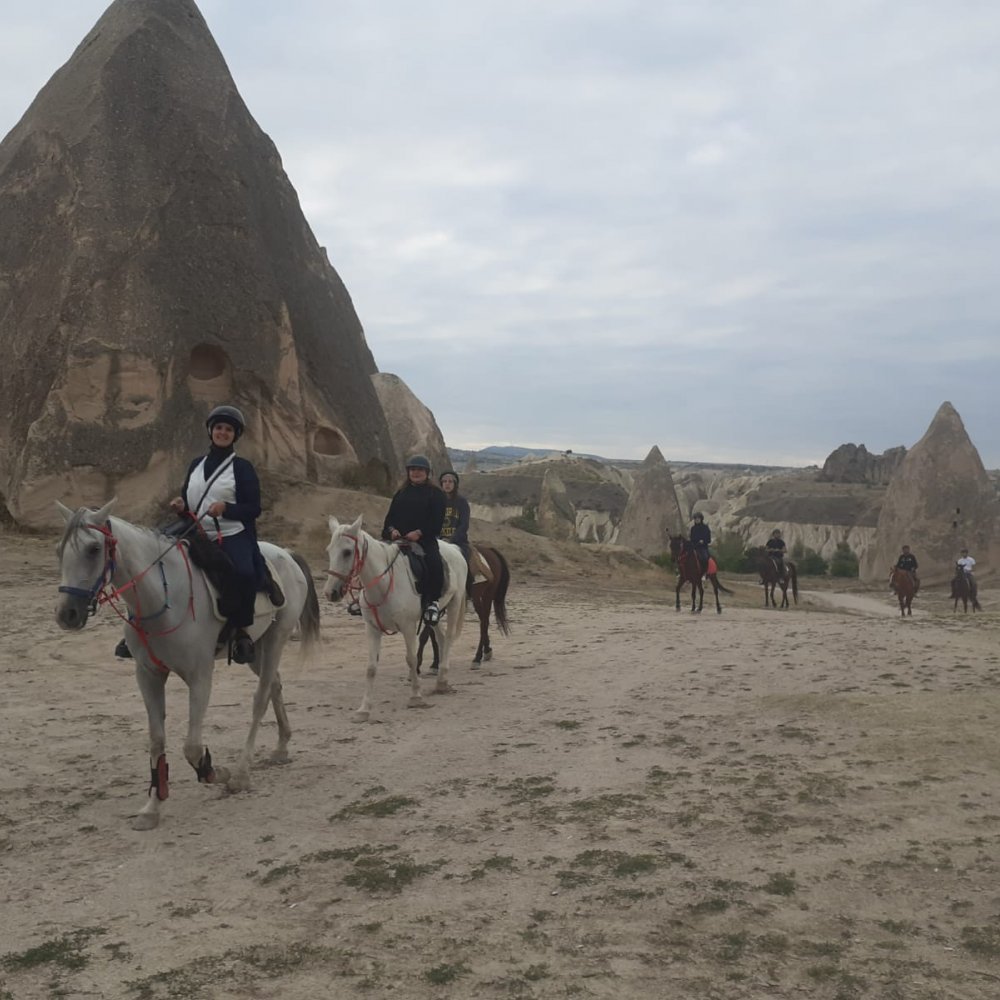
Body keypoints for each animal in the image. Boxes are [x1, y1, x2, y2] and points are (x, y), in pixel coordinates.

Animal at [54, 499, 321, 830]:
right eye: (59, 551)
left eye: (93, 549)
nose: (67, 614)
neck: (162, 597)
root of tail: (286, 553)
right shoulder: (148, 675)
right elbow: (157, 741)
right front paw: (152, 807)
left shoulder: (200, 677)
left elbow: (192, 747)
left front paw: (217, 773)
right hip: (256, 650)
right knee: (274, 685)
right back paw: (282, 746)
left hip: (276, 640)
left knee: (260, 699)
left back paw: (241, 774)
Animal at [324, 516, 467, 721]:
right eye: (329, 551)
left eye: (347, 552)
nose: (331, 593)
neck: (383, 584)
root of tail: (454, 549)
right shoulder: (372, 629)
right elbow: (371, 668)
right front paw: (364, 709)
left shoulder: (408, 627)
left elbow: (412, 659)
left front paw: (416, 697)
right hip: (433, 616)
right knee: (440, 637)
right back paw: (441, 678)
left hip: (454, 604)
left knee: (447, 640)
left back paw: (442, 681)